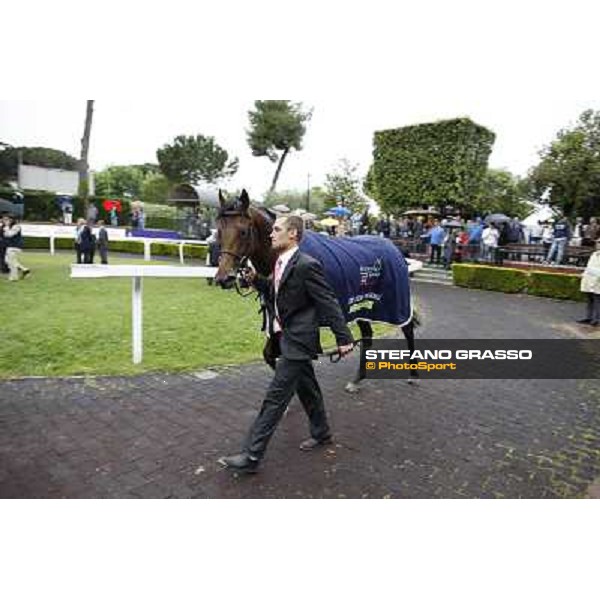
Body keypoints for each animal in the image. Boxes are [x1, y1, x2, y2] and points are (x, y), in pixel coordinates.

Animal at [214, 190, 418, 392]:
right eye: (219, 231)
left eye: (243, 231)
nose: (224, 278)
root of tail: (394, 248)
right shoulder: (278, 318)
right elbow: (270, 355)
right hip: (363, 308)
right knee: (367, 337)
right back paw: (357, 379)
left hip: (395, 304)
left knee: (407, 329)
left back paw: (413, 374)